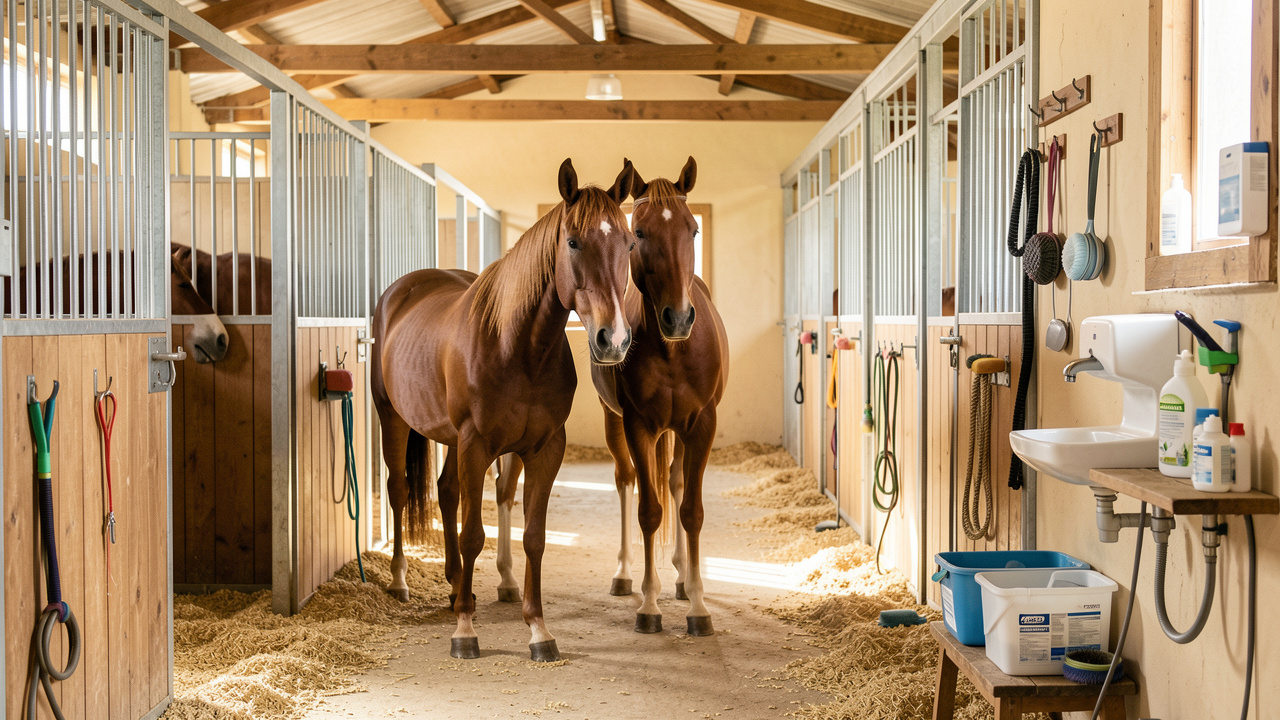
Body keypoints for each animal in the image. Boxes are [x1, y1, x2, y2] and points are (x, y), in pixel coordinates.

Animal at [371, 158, 636, 662]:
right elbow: (475, 533)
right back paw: (400, 582)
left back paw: (457, 585)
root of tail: (402, 290)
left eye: (630, 243)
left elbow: (533, 536)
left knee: (446, 491)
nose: (613, 340)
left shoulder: (545, 448)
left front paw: (538, 630)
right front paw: (465, 632)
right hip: (392, 418)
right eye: (573, 241)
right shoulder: (477, 443)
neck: (520, 349)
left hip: (451, 439)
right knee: (398, 491)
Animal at [591, 157, 728, 636]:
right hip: (615, 422)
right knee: (628, 481)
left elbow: (691, 511)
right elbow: (649, 511)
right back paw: (624, 574)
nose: (679, 317)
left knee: (677, 481)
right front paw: (649, 606)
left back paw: (684, 578)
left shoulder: (702, 425)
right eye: (639, 233)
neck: (672, 351)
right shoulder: (638, 425)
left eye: (693, 230)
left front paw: (699, 607)